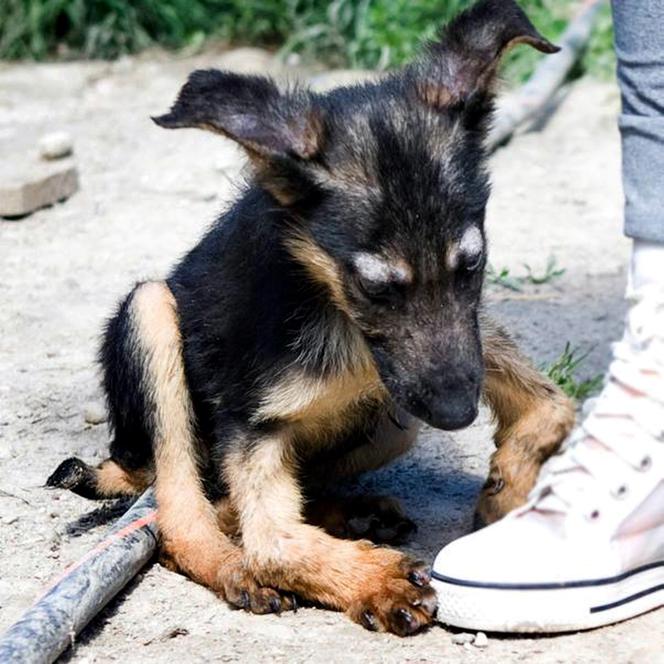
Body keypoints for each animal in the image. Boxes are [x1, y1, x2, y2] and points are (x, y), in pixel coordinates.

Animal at [48, 0, 576, 632]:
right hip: (151, 313)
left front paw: (507, 488)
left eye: (472, 264)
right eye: (373, 286)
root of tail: (129, 456)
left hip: (396, 423)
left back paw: (351, 512)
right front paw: (375, 582)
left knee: (235, 500)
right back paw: (239, 567)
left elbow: (555, 402)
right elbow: (274, 544)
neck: (341, 318)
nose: (458, 415)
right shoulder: (250, 424)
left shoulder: (462, 341)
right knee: (182, 516)